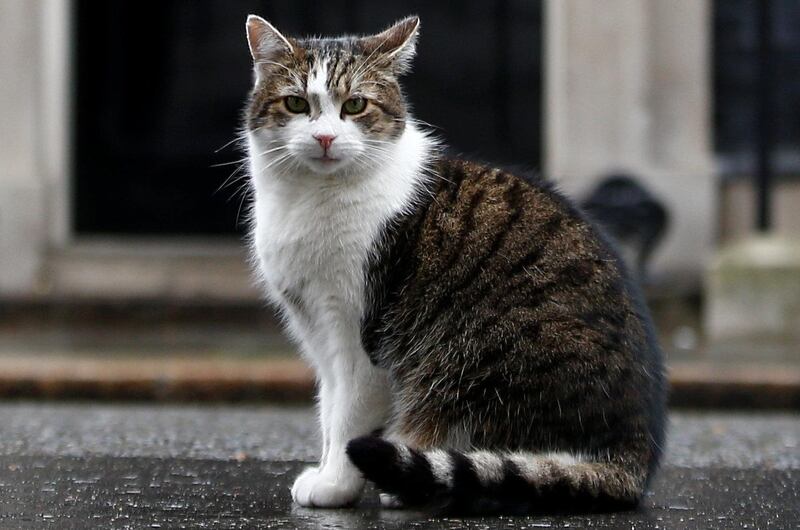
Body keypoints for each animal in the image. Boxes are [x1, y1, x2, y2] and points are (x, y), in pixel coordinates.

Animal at [241, 15, 664, 512]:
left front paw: (336, 486)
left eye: (355, 105)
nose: (325, 138)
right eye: (295, 103)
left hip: (475, 360)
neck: (309, 199)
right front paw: (326, 472)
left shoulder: (358, 338)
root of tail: (633, 460)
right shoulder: (319, 335)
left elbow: (348, 420)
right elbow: (329, 410)